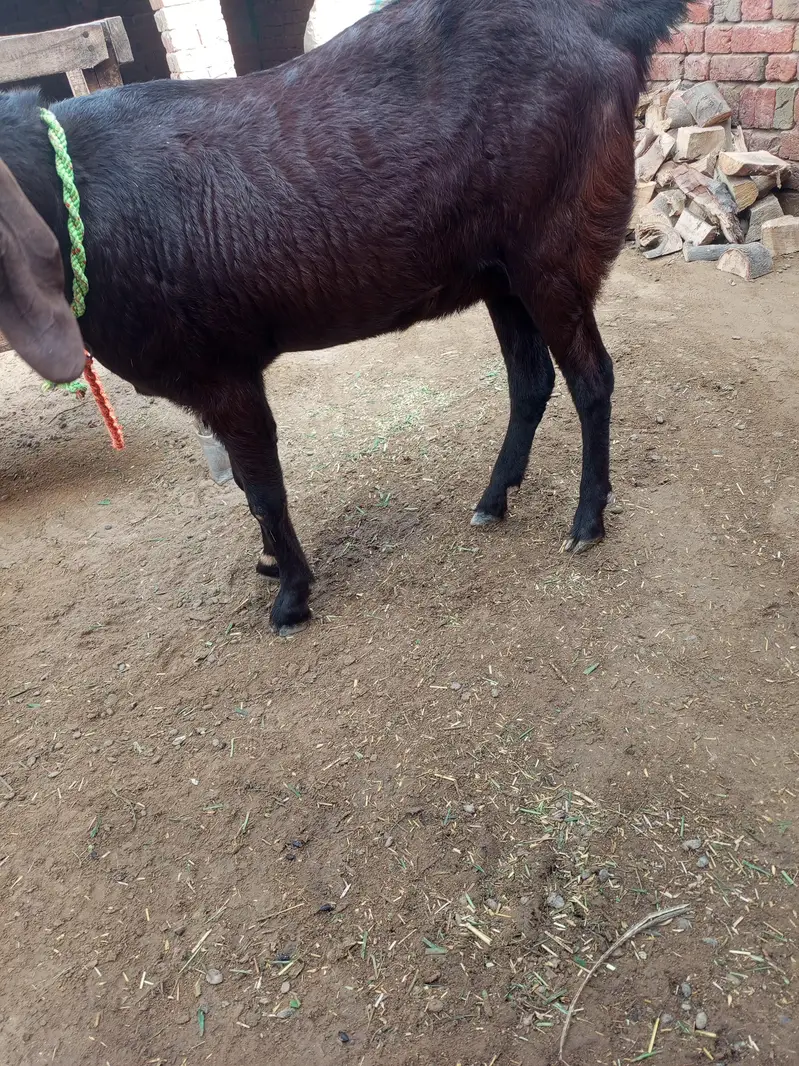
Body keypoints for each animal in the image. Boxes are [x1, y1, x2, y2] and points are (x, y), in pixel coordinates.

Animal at [0, 0, 688, 631]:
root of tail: (604, 25)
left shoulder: (223, 371)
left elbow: (262, 489)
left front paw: (290, 596)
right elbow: (248, 485)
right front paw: (273, 566)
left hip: (552, 255)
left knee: (591, 378)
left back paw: (586, 521)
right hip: (501, 275)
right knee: (532, 380)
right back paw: (493, 500)